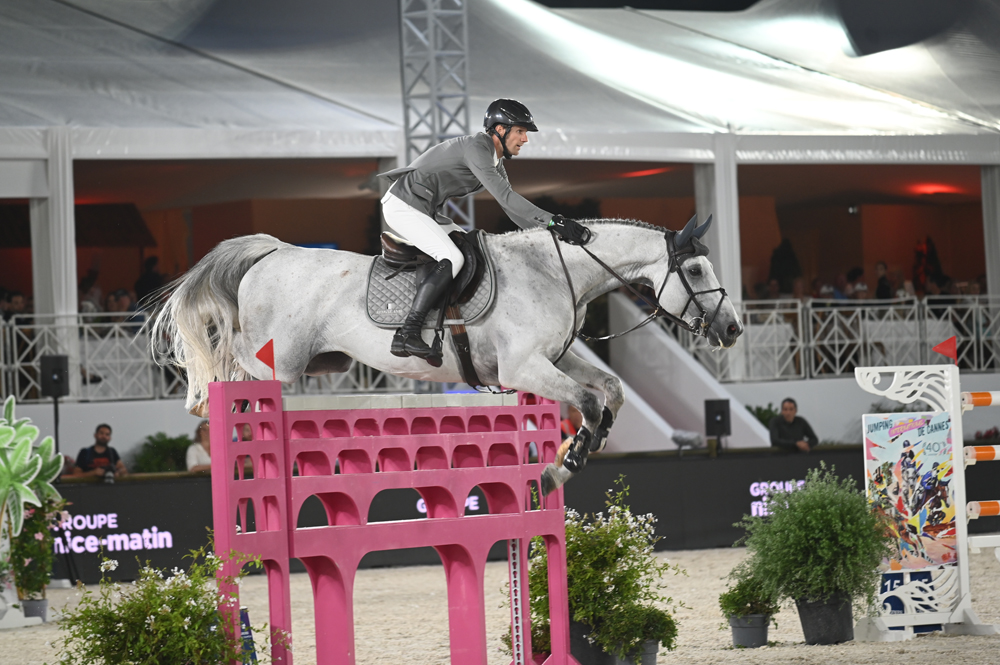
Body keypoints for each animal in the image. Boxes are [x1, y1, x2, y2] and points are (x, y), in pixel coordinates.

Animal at [151, 215, 743, 493]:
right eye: (695, 270)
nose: (733, 328)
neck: (555, 271)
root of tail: (272, 251)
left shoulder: (551, 360)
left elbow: (610, 392)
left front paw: (576, 452)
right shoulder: (523, 367)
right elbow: (590, 403)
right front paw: (564, 464)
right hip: (278, 360)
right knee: (232, 372)